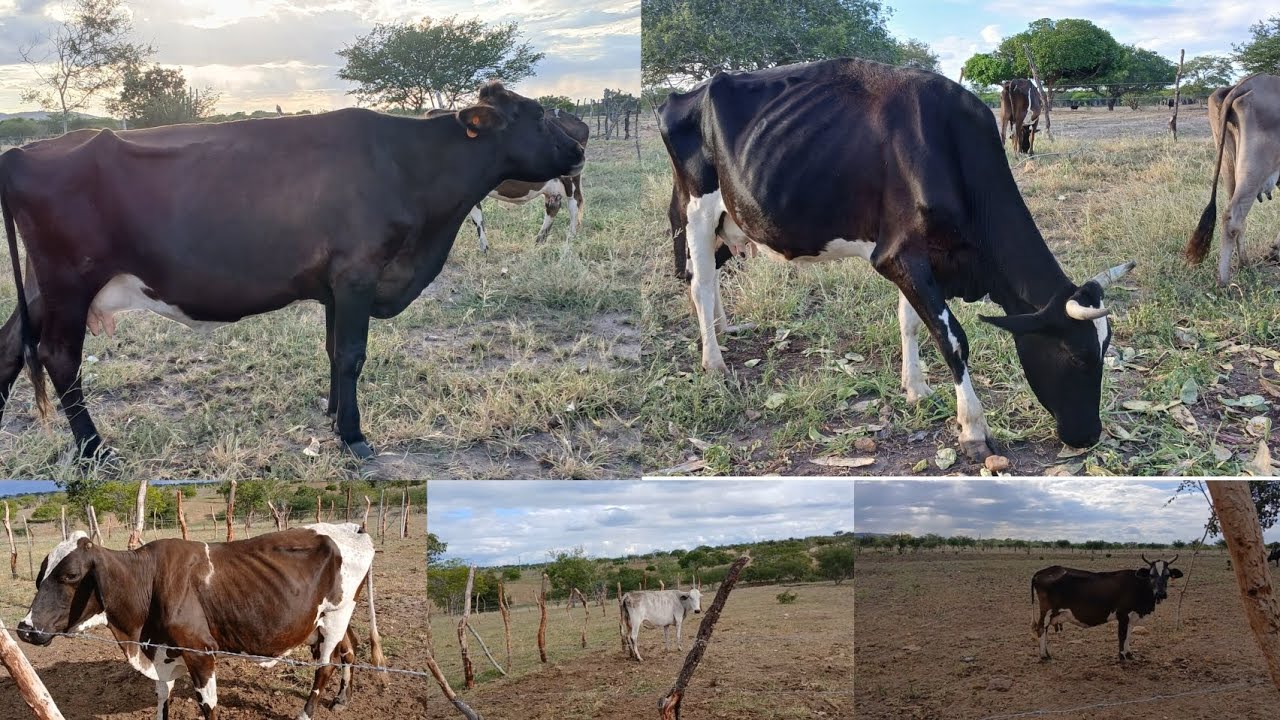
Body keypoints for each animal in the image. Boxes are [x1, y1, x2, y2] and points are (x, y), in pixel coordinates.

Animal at [16, 523, 380, 720]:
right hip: (331, 617)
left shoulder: (200, 653)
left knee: (326, 665)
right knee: (349, 650)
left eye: (70, 575)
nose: (25, 628)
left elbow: (207, 705)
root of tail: (353, 528)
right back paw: (342, 699)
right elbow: (162, 699)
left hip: (335, 616)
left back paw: (306, 712)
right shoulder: (163, 654)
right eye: (39, 576)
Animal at [429, 108, 590, 251]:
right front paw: (484, 248)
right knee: (553, 207)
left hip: (570, 179)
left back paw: (569, 240)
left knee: (574, 205)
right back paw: (539, 241)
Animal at [660, 58, 1135, 461]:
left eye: (1105, 348)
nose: (1089, 436)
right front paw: (973, 429)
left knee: (708, 277)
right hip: (697, 207)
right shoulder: (897, 255)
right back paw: (714, 361)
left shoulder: (916, 255)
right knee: (700, 284)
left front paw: (917, 388)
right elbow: (952, 339)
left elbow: (910, 322)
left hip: (728, 220)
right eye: (1078, 357)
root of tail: (685, 94)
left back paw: (724, 329)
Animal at [1031, 555, 1182, 662]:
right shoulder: (1123, 614)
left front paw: (1129, 654)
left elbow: (1129, 634)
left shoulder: (1131, 616)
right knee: (1041, 628)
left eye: (1167, 575)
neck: (1138, 585)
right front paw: (1122, 657)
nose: (1161, 593)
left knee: (1044, 629)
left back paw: (1046, 654)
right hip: (1047, 611)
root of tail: (1042, 571)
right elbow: (1122, 635)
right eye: (1151, 575)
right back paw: (1044, 656)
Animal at [1185, 74, 1280, 285]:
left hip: (1229, 164)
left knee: (1235, 217)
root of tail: (1244, 84)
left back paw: (1244, 263)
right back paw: (1224, 280)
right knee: (1233, 216)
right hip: (1253, 170)